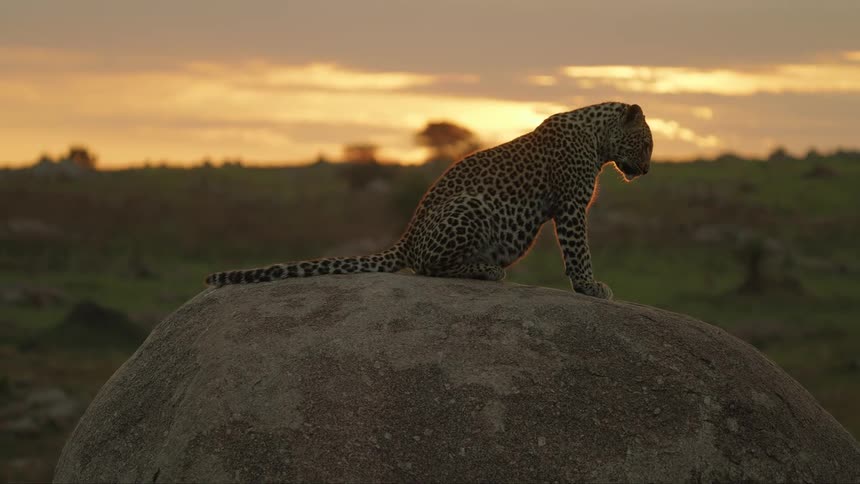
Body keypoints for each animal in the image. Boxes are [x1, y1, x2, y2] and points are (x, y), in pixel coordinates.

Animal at [205, 101, 653, 299]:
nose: (648, 171)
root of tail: (405, 237)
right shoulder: (572, 206)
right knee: (426, 268)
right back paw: (486, 270)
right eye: (646, 143)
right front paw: (589, 285)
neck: (597, 137)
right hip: (470, 206)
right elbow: (578, 250)